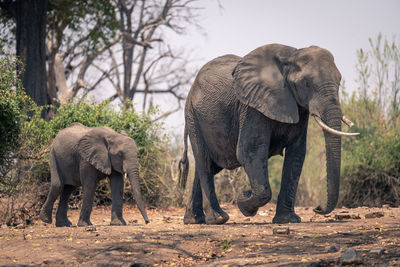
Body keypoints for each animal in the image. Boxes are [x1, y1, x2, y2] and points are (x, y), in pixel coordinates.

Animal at [179, 44, 360, 226]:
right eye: (306, 83)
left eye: (339, 81)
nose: (318, 208)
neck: (291, 56)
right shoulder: (252, 107)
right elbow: (249, 151)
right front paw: (244, 202)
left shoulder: (299, 109)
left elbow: (296, 155)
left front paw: (288, 220)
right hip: (193, 116)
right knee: (205, 164)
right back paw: (218, 219)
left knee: (207, 166)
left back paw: (194, 220)